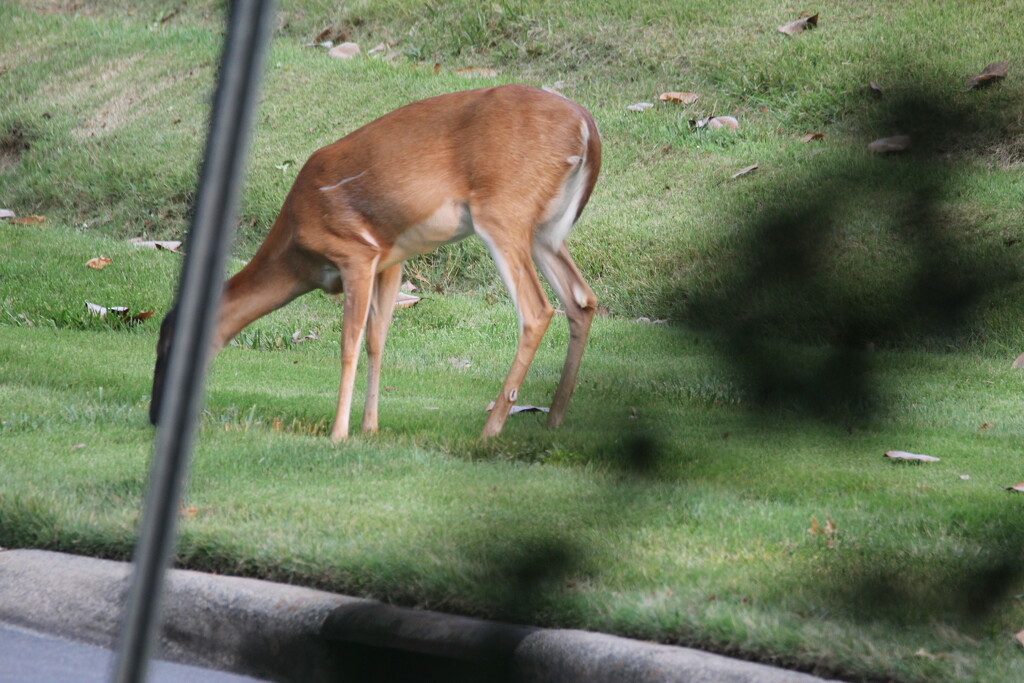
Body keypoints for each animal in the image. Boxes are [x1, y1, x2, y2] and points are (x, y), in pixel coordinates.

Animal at [149, 83, 598, 444]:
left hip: (503, 211)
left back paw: (491, 429)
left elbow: (348, 343)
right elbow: (377, 340)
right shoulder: (391, 259)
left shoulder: (355, 252)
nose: (155, 415)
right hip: (545, 230)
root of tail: (588, 128)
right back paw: (554, 420)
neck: (296, 249)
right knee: (582, 299)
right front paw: (369, 428)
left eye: (168, 343)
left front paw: (338, 433)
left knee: (537, 310)